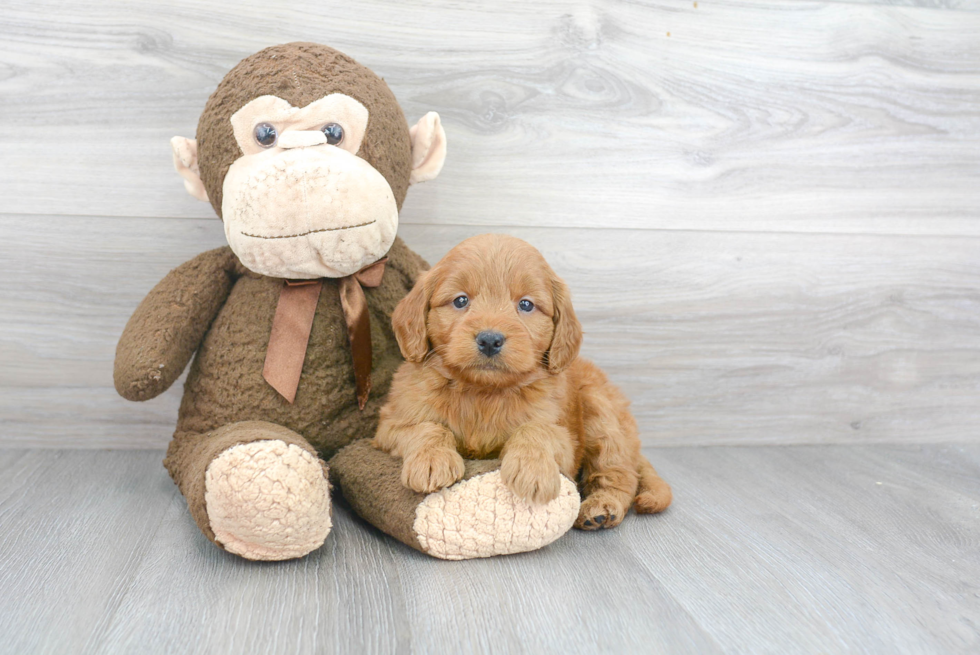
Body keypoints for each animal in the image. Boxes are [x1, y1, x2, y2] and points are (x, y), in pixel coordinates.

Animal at [372, 233, 668, 532]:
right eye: (460, 300)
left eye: (526, 304)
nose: (490, 339)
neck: (482, 392)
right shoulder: (389, 426)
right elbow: (428, 427)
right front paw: (432, 460)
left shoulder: (565, 440)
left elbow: (534, 429)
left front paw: (532, 470)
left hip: (601, 413)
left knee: (619, 473)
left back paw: (602, 507)